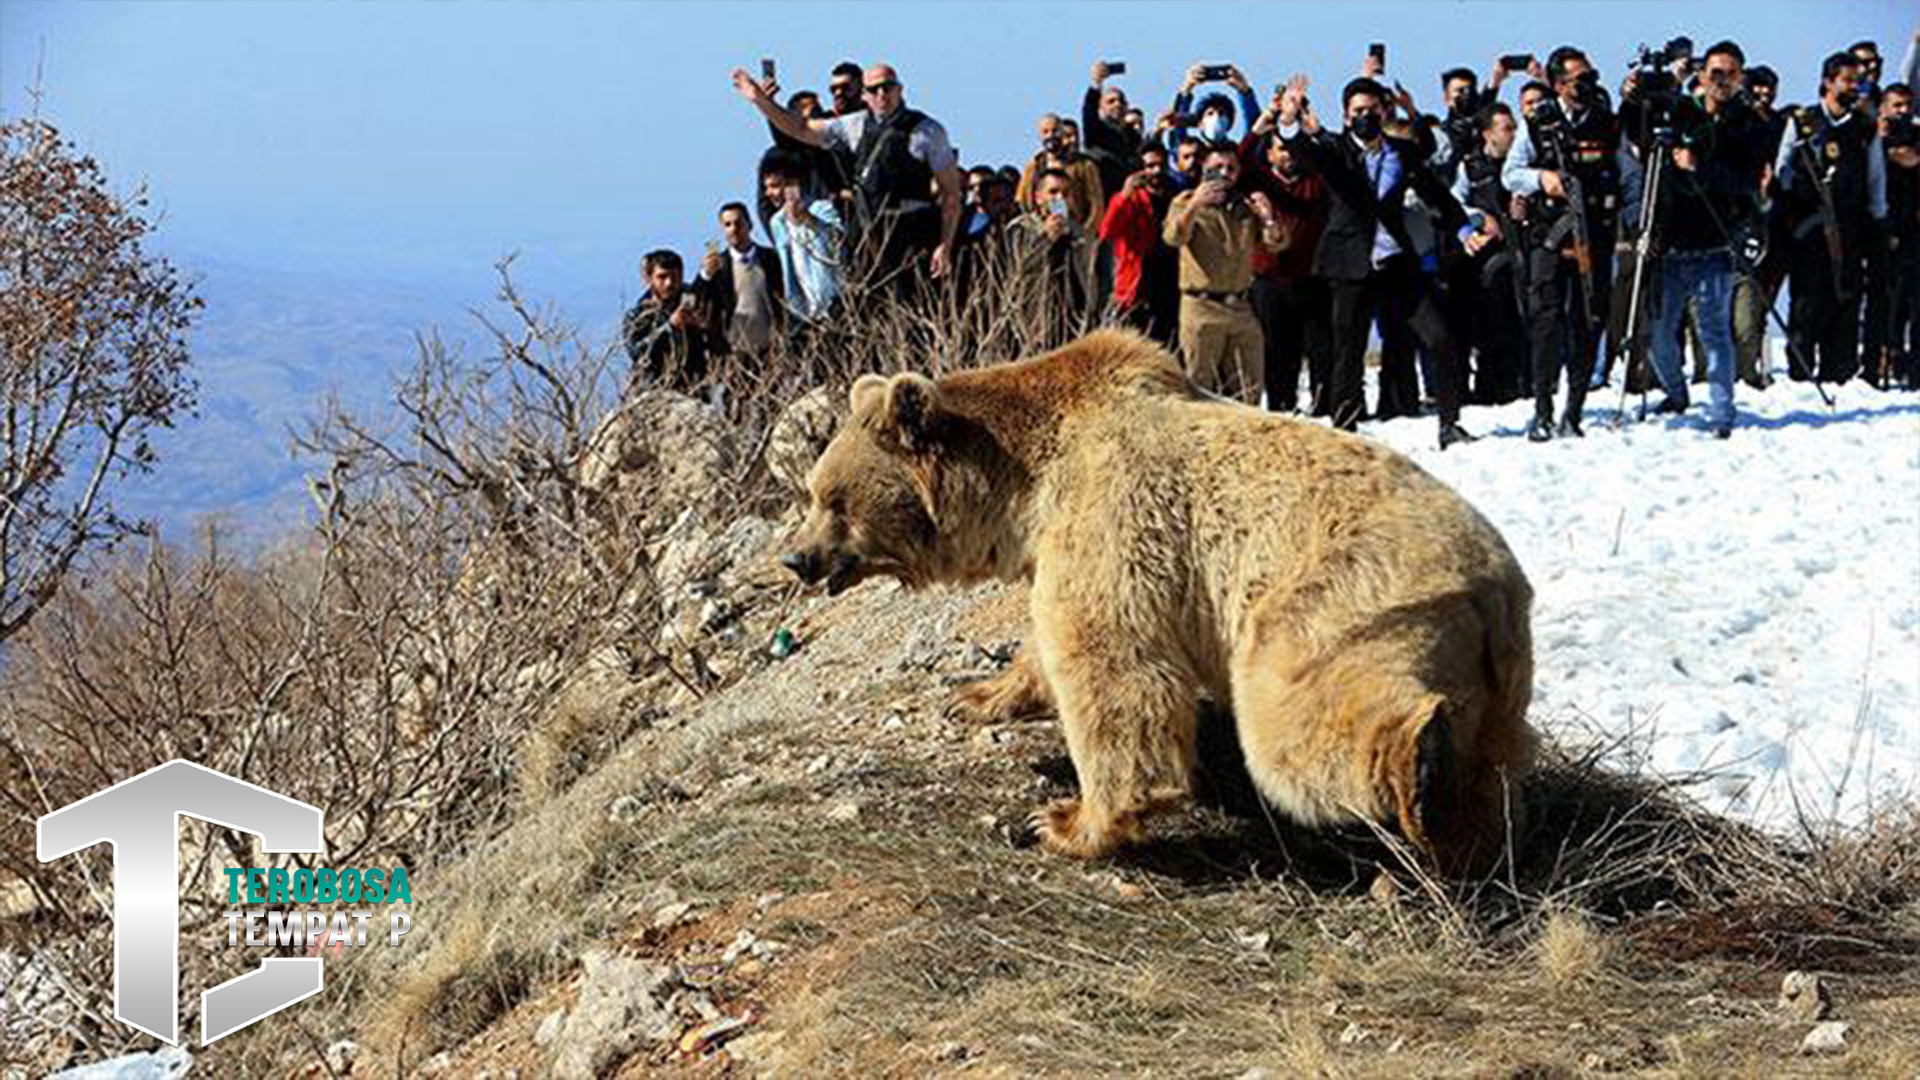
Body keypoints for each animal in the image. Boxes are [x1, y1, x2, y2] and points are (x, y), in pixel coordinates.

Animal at [787, 326, 1536, 864]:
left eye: (834, 499)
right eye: (814, 493)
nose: (798, 558)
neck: (1022, 484)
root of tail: (1496, 590)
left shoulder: (1108, 519)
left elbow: (1111, 666)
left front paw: (1066, 821)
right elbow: (1043, 644)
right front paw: (977, 695)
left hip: (1331, 606)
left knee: (1292, 725)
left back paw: (1422, 774)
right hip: (1499, 685)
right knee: (1495, 770)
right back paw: (1464, 841)